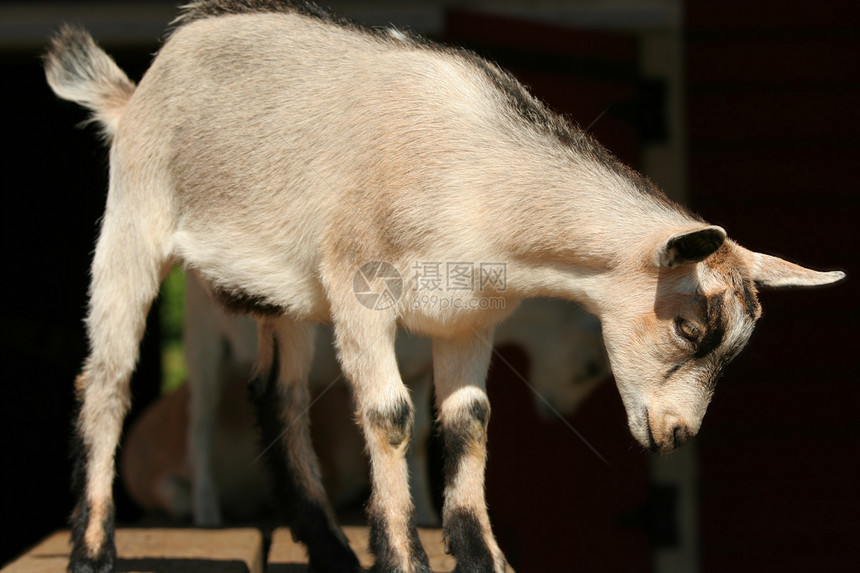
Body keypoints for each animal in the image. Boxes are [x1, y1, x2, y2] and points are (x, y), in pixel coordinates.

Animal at [43, 2, 844, 568]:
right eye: (689, 326)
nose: (676, 434)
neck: (484, 181)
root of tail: (135, 90)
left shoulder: (468, 319)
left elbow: (468, 423)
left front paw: (481, 557)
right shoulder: (358, 290)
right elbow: (393, 415)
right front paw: (403, 556)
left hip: (281, 297)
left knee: (280, 397)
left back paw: (330, 551)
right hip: (134, 224)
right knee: (107, 379)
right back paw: (93, 550)